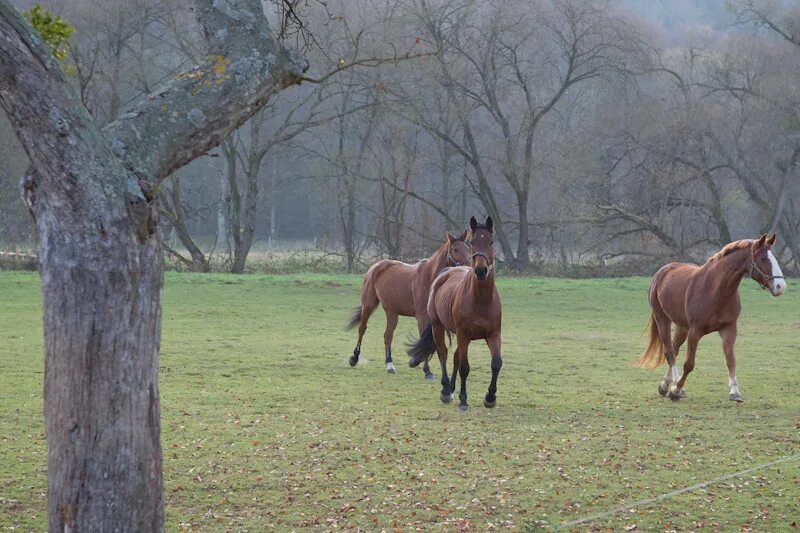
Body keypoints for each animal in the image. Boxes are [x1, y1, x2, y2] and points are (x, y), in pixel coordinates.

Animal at [346, 231, 472, 376]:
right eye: (455, 249)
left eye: (467, 248)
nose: (469, 266)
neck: (430, 277)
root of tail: (375, 267)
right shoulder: (422, 316)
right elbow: (424, 339)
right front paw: (427, 370)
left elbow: (429, 342)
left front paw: (415, 361)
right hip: (368, 305)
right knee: (362, 329)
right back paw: (354, 358)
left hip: (392, 312)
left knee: (388, 336)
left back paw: (390, 365)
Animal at [410, 216, 504, 412]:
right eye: (473, 242)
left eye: (491, 241)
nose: (481, 270)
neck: (481, 299)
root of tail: (446, 272)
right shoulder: (463, 335)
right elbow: (465, 367)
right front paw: (463, 400)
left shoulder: (494, 334)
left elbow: (496, 363)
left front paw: (490, 397)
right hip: (439, 327)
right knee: (443, 353)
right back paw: (446, 390)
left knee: (454, 357)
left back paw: (452, 388)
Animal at [636, 235, 788, 402]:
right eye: (763, 258)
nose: (781, 286)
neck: (716, 290)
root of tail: (662, 272)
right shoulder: (695, 331)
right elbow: (689, 364)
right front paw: (676, 390)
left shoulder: (729, 329)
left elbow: (730, 360)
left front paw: (735, 391)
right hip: (662, 319)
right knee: (670, 353)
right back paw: (674, 387)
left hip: (682, 327)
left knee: (674, 350)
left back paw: (665, 384)